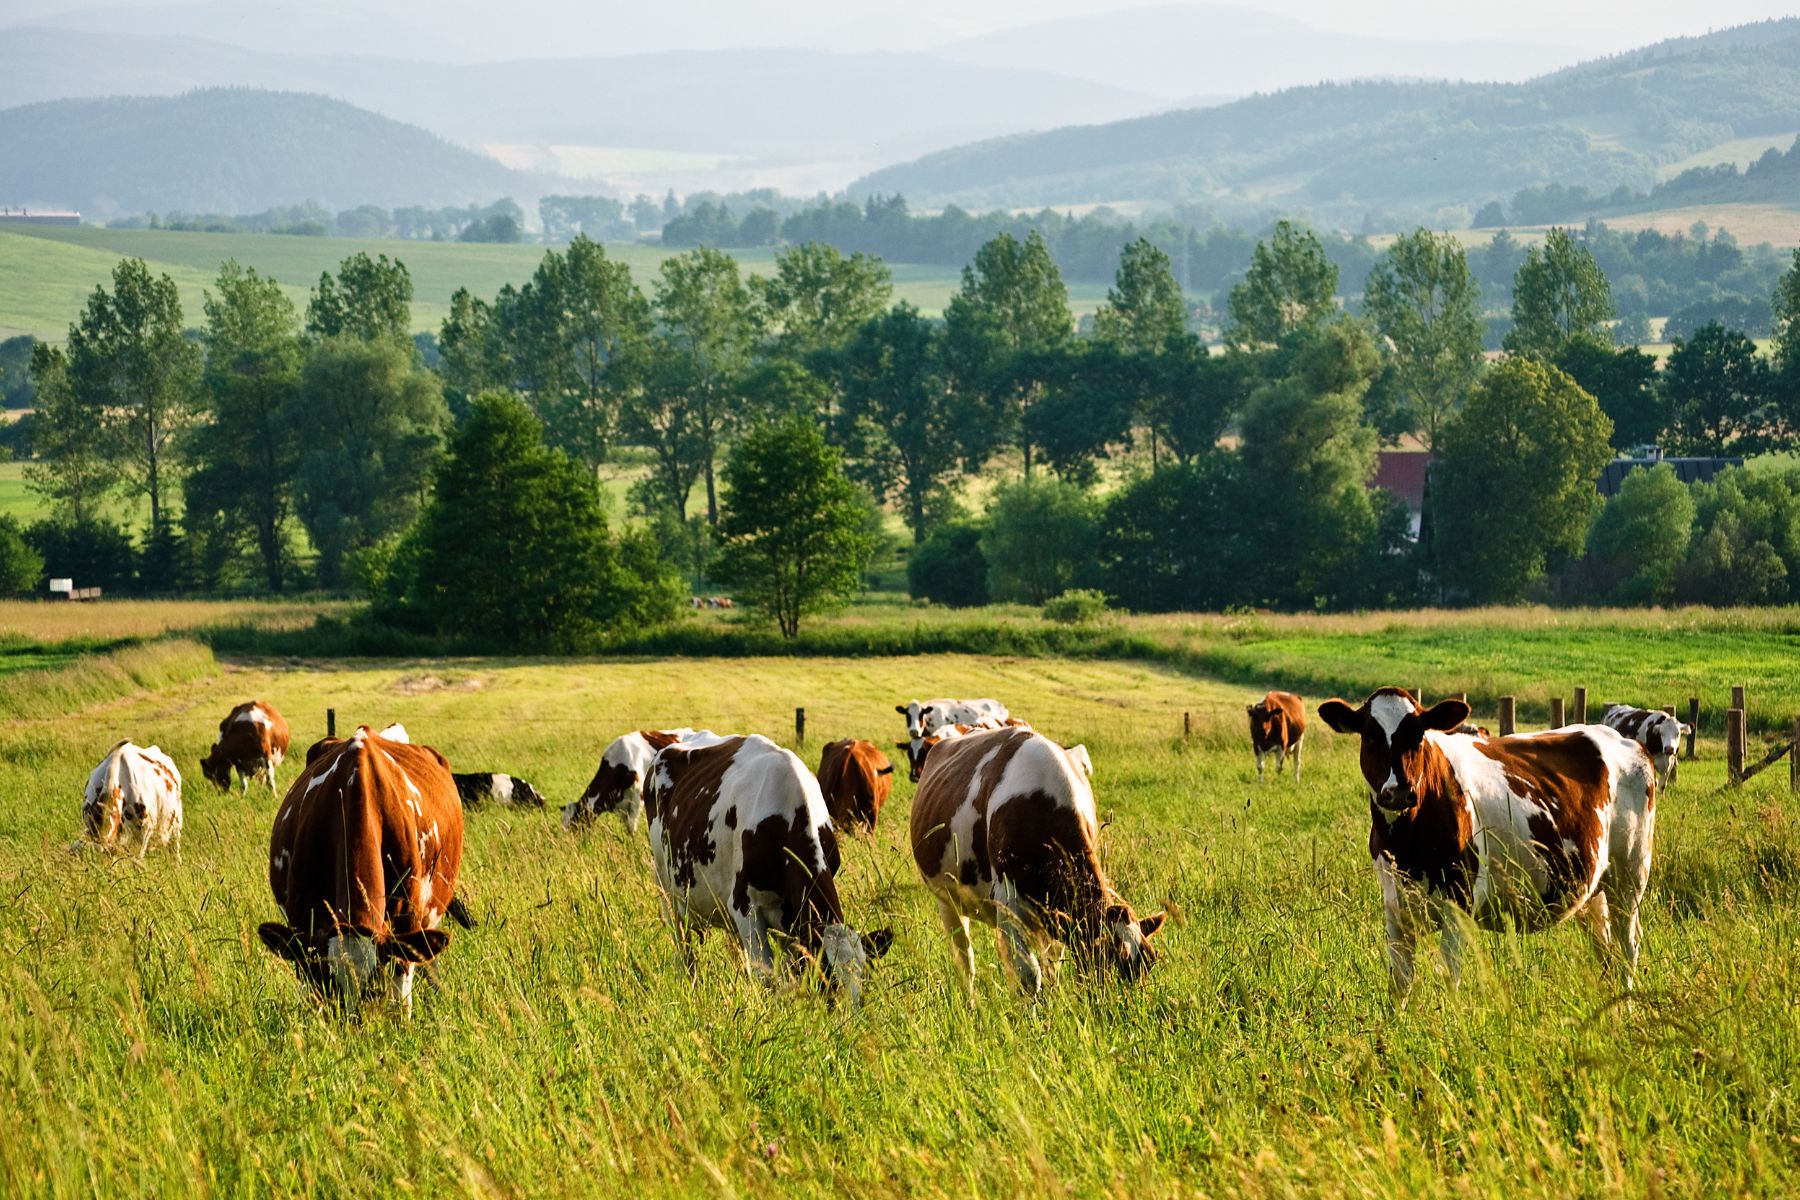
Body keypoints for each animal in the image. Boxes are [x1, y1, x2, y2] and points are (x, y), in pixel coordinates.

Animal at [262, 726, 471, 1021]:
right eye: (329, 981)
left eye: (374, 985)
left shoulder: (406, 923)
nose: (354, 1025)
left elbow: (401, 996)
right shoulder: (302, 923)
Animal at [651, 734, 896, 1007]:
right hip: (665, 889)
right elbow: (767, 977)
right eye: (827, 975)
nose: (850, 1015)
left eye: (863, 976)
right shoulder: (744, 906)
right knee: (683, 948)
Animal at [914, 726, 1166, 1000]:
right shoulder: (1008, 903)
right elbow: (1028, 976)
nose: (1129, 1006)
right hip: (947, 899)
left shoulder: (1055, 917)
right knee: (964, 960)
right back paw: (970, 1003)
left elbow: (1051, 966)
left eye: (1151, 961)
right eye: (1104, 957)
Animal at [1310, 690, 1656, 1000]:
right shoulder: (1395, 908)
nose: (1398, 792)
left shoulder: (1459, 903)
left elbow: (1450, 978)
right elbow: (1400, 983)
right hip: (1593, 887)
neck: (1407, 845)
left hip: (1630, 876)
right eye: (1369, 736)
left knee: (1627, 947)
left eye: (1419, 735)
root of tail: (1623, 739)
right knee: (1604, 948)